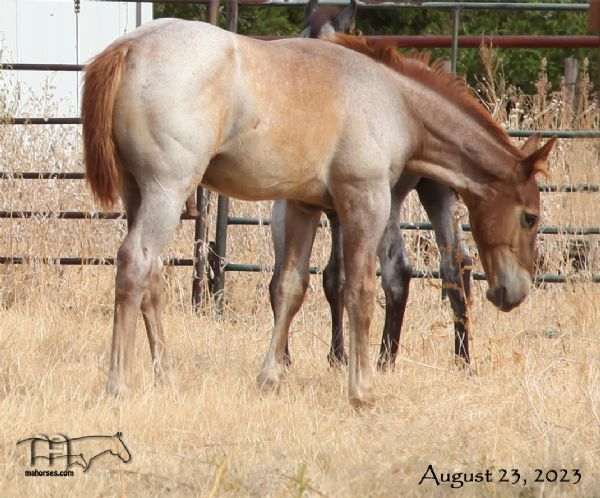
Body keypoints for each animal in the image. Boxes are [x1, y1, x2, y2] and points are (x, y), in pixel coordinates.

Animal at [82, 20, 556, 408]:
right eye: (530, 217)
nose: (513, 292)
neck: (394, 101)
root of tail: (127, 47)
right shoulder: (366, 199)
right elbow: (360, 290)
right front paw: (362, 389)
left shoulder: (303, 206)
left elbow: (289, 289)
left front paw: (271, 377)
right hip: (168, 189)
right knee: (135, 263)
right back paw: (118, 385)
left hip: (137, 193)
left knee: (152, 278)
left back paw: (165, 375)